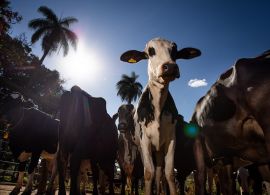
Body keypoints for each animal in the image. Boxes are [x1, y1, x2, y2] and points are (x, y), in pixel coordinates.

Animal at [120, 37, 200, 194]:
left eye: (174, 51)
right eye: (150, 51)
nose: (170, 66)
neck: (157, 108)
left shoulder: (170, 140)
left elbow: (169, 173)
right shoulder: (145, 141)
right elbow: (148, 173)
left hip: (158, 149)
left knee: (159, 173)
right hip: (141, 148)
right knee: (149, 171)